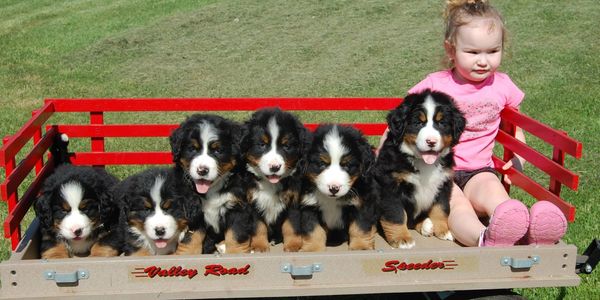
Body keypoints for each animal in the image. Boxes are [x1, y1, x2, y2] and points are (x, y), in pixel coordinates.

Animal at [169, 113, 253, 254]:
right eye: (192, 149)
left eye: (218, 150)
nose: (202, 170)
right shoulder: (191, 207)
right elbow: (191, 237)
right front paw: (187, 253)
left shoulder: (238, 205)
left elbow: (235, 235)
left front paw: (236, 253)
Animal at [241, 108, 312, 251]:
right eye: (262, 145)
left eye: (286, 146)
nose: (275, 167)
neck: (270, 183)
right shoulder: (253, 201)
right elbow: (258, 226)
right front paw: (259, 246)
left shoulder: (293, 200)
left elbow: (291, 225)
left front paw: (293, 245)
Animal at [284, 123, 378, 251]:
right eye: (322, 164)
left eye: (347, 165)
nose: (334, 188)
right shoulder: (308, 205)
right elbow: (313, 229)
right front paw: (312, 249)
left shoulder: (362, 203)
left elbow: (360, 226)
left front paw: (360, 247)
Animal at [376, 89, 468, 248]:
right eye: (418, 123)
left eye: (441, 123)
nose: (431, 141)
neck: (423, 163)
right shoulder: (390, 186)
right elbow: (397, 214)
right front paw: (402, 238)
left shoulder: (443, 183)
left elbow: (441, 209)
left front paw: (443, 231)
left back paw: (426, 225)